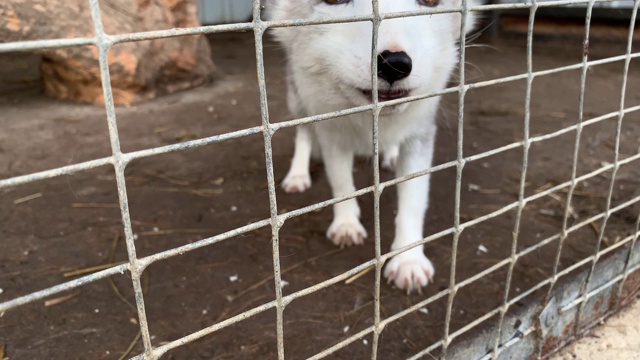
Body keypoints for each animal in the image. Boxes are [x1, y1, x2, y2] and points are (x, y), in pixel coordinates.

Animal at [264, 0, 476, 292]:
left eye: (431, 2)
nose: (395, 64)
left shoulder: (420, 135)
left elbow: (413, 200)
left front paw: (408, 259)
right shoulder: (332, 134)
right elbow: (341, 184)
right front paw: (346, 224)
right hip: (298, 100)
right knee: (303, 134)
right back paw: (298, 174)